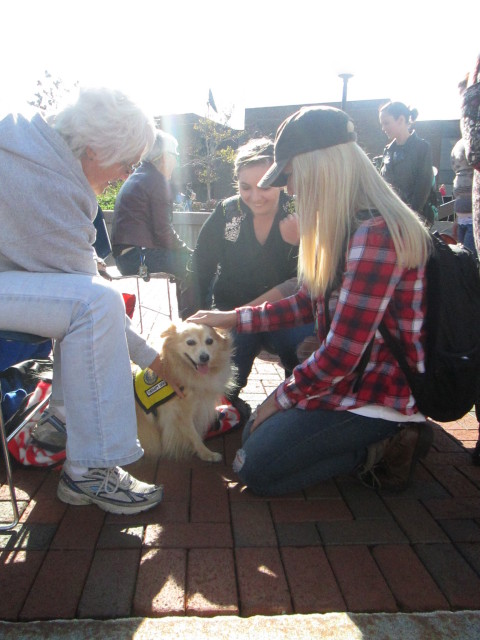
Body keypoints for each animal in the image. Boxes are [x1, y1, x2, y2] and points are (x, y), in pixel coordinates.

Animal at [134, 322, 235, 462]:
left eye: (209, 341)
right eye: (190, 342)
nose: (205, 357)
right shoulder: (180, 414)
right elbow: (194, 435)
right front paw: (207, 454)